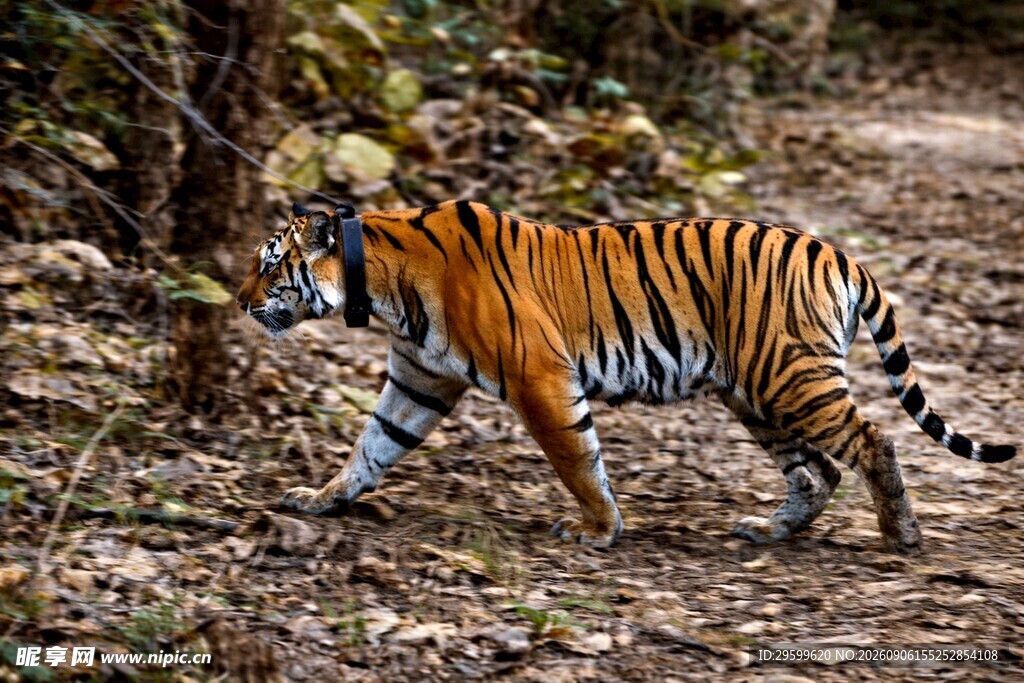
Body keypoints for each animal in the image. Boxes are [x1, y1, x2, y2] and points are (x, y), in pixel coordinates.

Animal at [235, 199, 1016, 555]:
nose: (239, 300)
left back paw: (902, 534)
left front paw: (598, 528)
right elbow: (371, 448)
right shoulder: (419, 379)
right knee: (816, 469)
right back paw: (768, 529)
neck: (380, 284)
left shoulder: (539, 377)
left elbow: (578, 460)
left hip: (790, 377)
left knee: (873, 440)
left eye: (269, 264)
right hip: (756, 391)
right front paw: (320, 500)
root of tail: (836, 251)